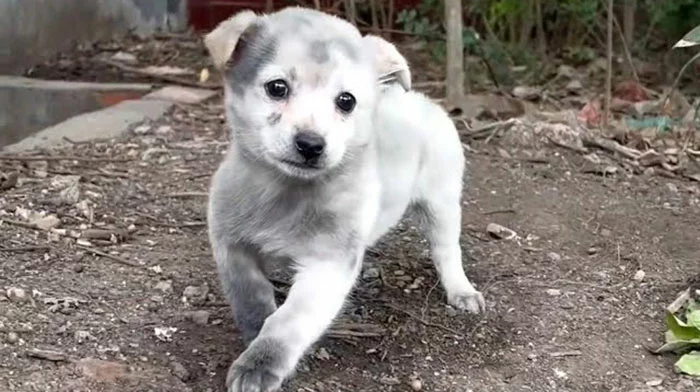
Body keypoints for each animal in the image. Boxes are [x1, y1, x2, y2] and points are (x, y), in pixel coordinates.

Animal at [205, 6, 484, 392]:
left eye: (346, 101)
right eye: (277, 87)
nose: (310, 144)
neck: (287, 192)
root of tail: (421, 99)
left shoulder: (328, 264)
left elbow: (288, 321)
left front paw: (260, 363)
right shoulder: (230, 245)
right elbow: (251, 297)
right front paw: (254, 333)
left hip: (441, 203)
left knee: (447, 251)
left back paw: (461, 290)